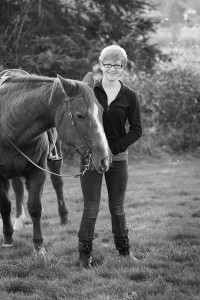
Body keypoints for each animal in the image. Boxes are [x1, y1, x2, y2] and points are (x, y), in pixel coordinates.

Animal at [0, 68, 111, 253]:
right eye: (80, 115)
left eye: (102, 112)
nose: (105, 159)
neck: (9, 126)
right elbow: (5, 206)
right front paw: (8, 239)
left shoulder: (37, 170)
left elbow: (35, 207)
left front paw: (38, 246)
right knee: (18, 190)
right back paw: (18, 221)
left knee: (57, 183)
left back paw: (63, 216)